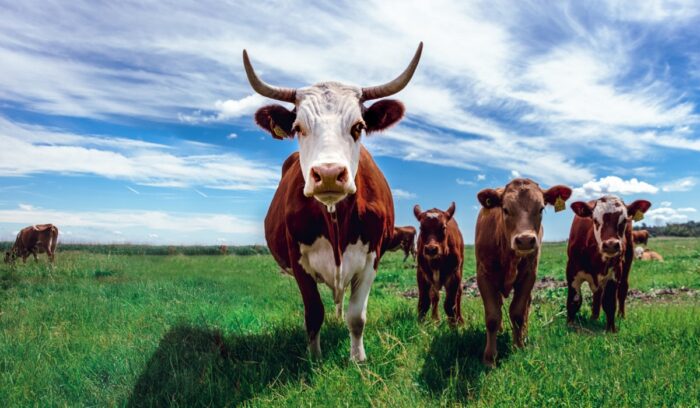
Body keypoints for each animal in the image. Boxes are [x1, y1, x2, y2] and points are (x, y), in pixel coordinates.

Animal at [244, 43, 422, 361]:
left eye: (359, 127)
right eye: (298, 128)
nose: (328, 174)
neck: (335, 218)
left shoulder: (372, 257)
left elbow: (357, 316)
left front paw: (357, 358)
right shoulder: (298, 260)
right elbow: (314, 313)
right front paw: (314, 358)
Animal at [475, 179, 572, 366]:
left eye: (541, 208)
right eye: (505, 209)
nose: (526, 240)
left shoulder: (529, 275)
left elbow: (518, 313)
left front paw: (518, 347)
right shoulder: (484, 275)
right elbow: (492, 316)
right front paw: (489, 357)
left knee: (526, 306)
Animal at [567, 196, 652, 332]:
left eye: (624, 221)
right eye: (595, 220)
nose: (611, 244)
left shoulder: (614, 273)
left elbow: (609, 302)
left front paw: (611, 329)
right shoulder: (572, 271)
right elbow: (574, 301)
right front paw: (570, 325)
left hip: (628, 259)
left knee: (622, 289)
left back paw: (621, 316)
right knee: (597, 294)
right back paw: (594, 317)